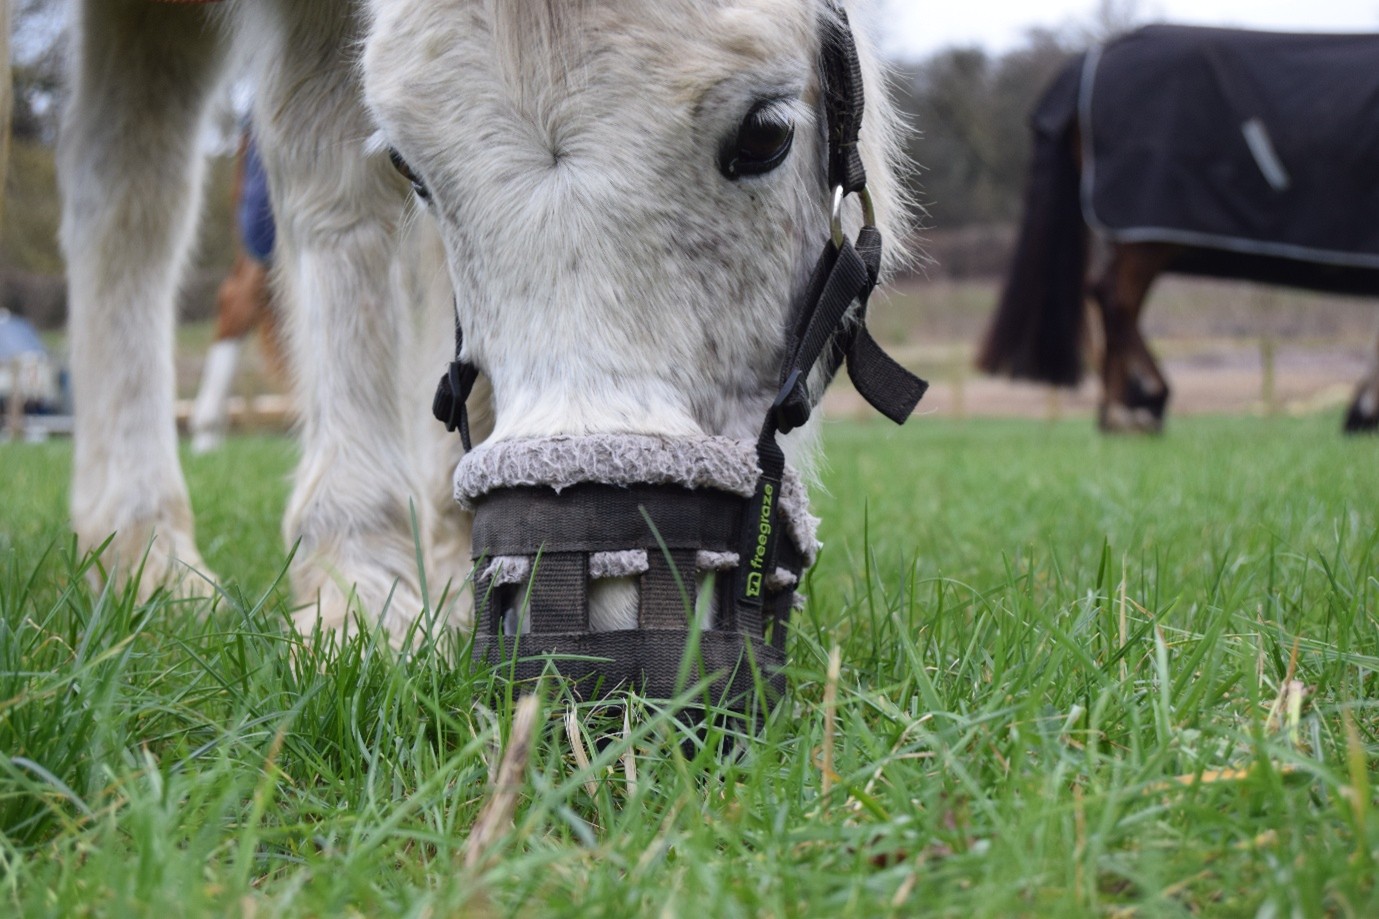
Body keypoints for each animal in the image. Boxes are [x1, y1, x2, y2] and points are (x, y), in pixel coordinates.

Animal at [60, 0, 916, 652]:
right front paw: (358, 588)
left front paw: (447, 573)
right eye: (409, 166)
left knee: (127, 192)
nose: (612, 600)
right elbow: (331, 186)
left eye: (766, 132)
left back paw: (142, 556)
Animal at [976, 25, 1379, 433]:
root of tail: (1102, 50)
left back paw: (1124, 408)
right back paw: (1136, 405)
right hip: (1144, 238)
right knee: (1115, 298)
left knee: (1110, 297)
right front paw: (1365, 409)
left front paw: (1364, 409)